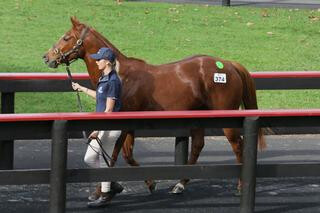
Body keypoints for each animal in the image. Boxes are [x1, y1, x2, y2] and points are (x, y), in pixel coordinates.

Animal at [43, 17, 266, 195]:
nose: (47, 57)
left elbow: (115, 156)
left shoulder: (122, 124)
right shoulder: (130, 125)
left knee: (238, 146)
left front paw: (102, 191)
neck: (120, 75)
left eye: (66, 37)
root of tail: (229, 64)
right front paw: (148, 184)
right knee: (198, 146)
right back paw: (180, 184)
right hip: (199, 116)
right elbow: (127, 156)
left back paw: (240, 186)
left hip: (226, 118)